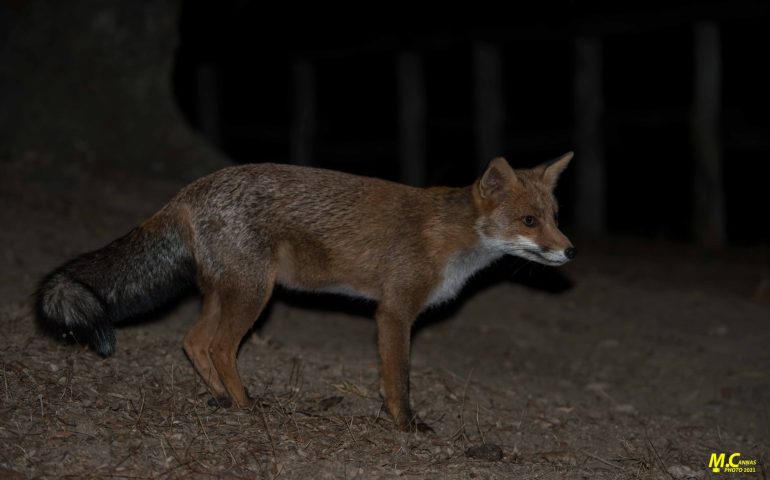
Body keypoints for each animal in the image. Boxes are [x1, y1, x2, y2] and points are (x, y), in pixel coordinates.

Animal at [39, 153, 572, 432]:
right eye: (529, 221)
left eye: (554, 216)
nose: (569, 251)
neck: (451, 239)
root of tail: (190, 189)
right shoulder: (395, 311)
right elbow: (398, 379)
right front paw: (404, 425)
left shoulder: (392, 312)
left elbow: (391, 379)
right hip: (254, 294)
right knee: (219, 346)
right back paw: (246, 406)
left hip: (226, 293)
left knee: (193, 342)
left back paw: (221, 399)